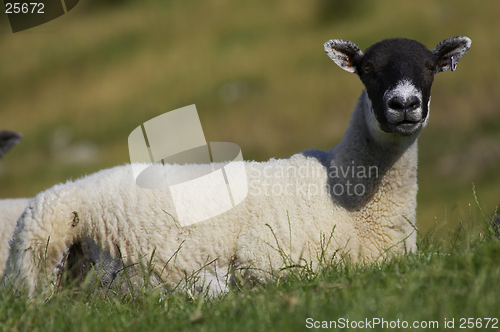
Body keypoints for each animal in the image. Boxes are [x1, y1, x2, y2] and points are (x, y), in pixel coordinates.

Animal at [3, 36, 470, 296]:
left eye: (430, 67)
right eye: (368, 69)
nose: (404, 104)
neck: (345, 191)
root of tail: (48, 194)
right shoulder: (271, 262)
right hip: (44, 257)